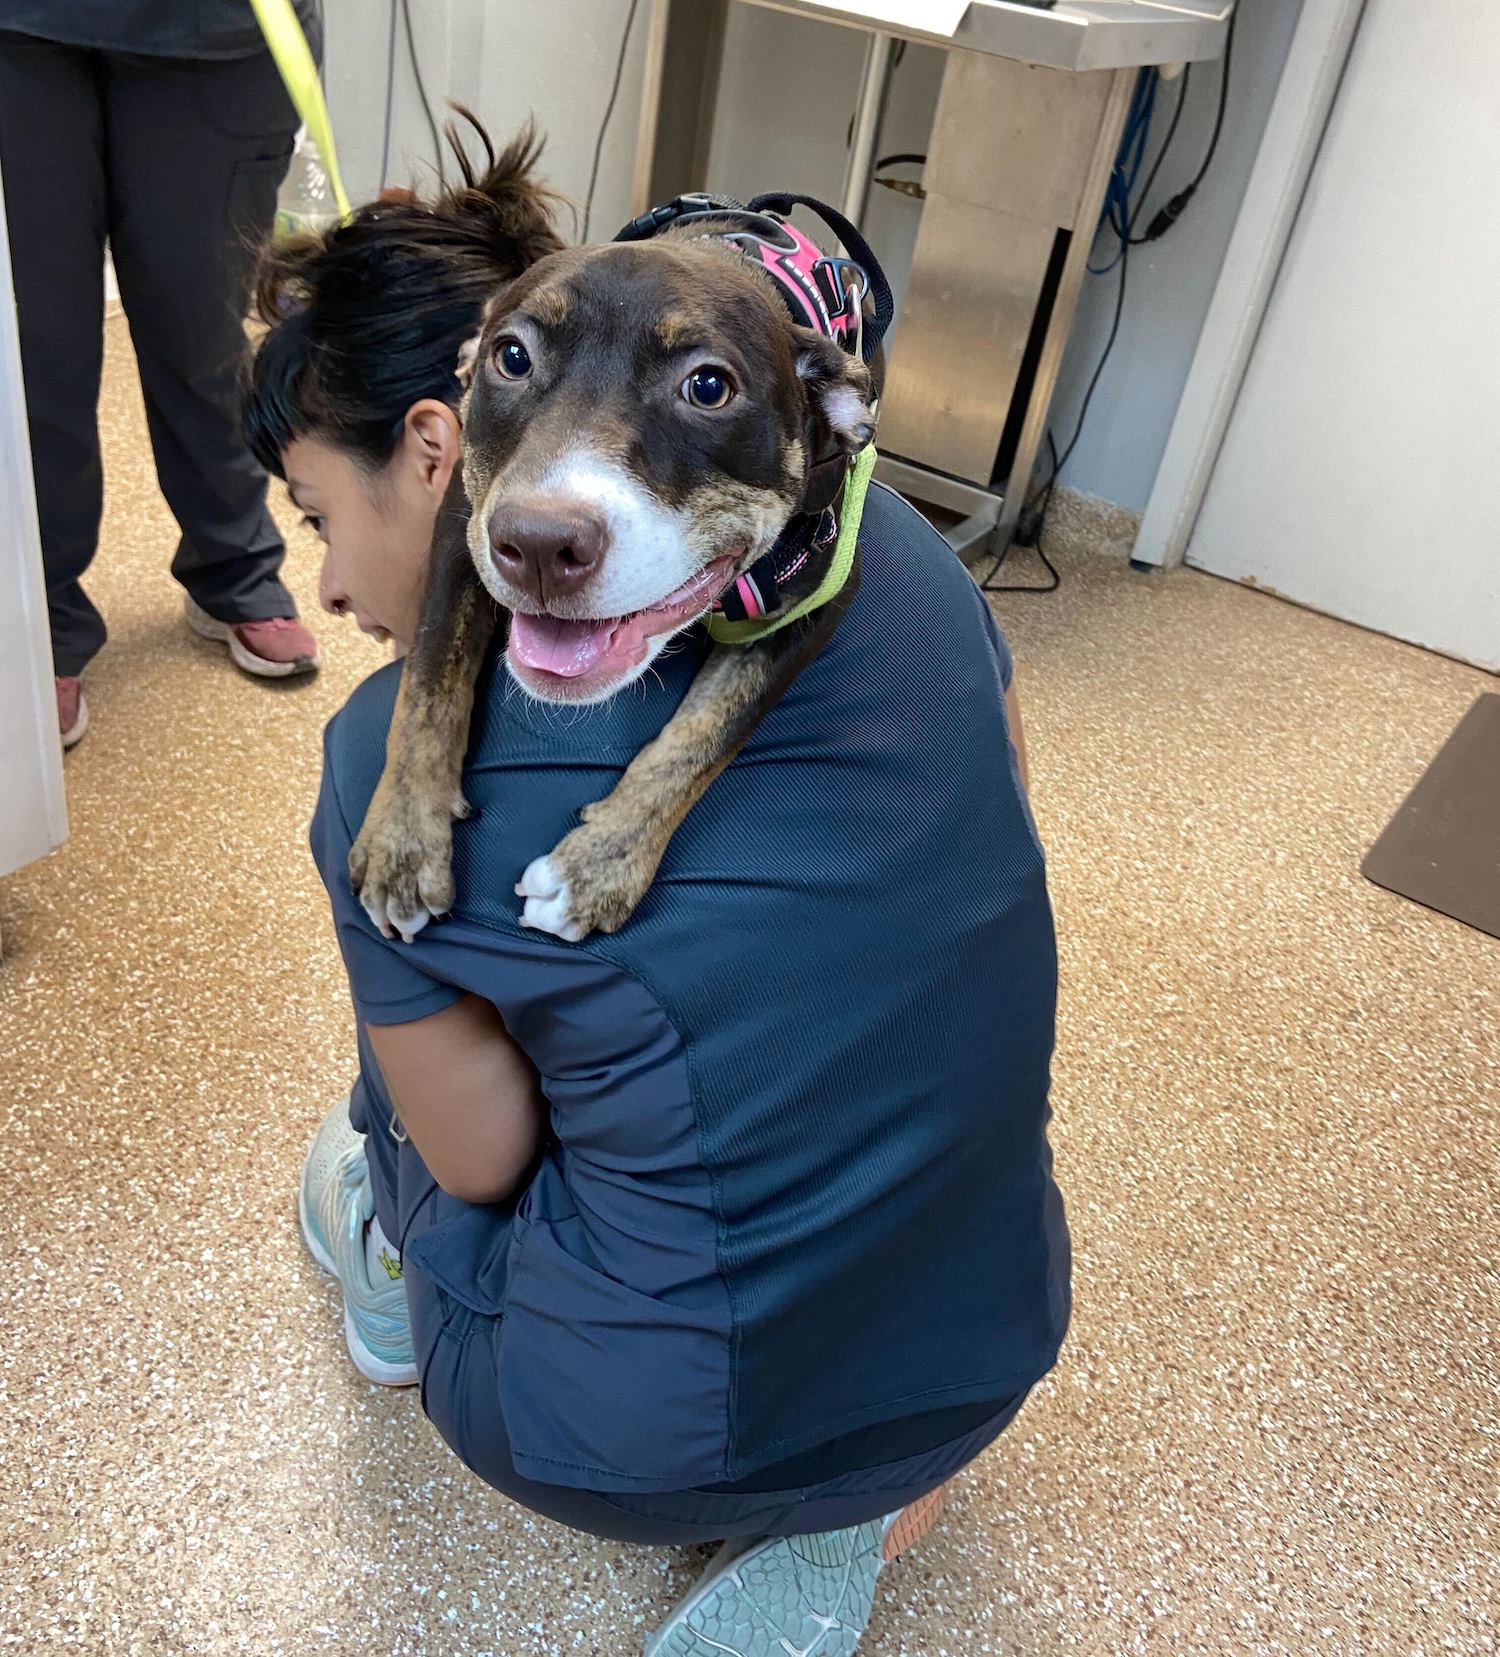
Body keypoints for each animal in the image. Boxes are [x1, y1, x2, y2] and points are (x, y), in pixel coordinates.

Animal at [349, 205, 875, 941]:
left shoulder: (816, 600)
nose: (539, 543)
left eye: (708, 387)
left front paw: (593, 873)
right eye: (512, 357)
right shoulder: (462, 520)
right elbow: (427, 682)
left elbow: (700, 740)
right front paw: (401, 843)